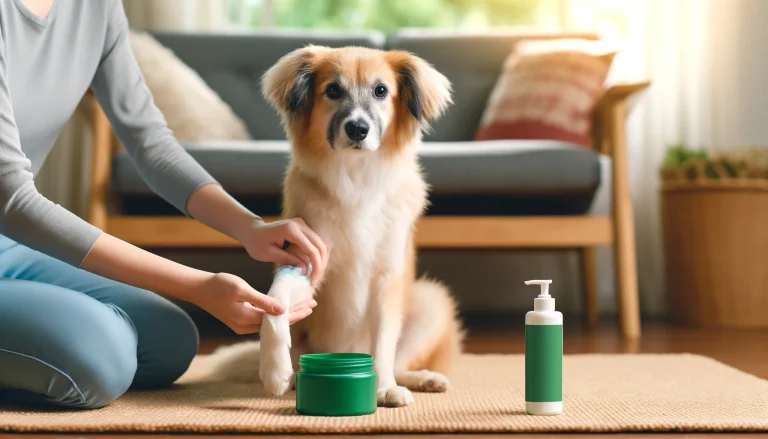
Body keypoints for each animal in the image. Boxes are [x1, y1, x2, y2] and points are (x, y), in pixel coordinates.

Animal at [204, 45, 464, 410]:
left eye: (380, 91)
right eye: (333, 91)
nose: (357, 129)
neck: (356, 177)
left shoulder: (386, 278)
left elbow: (383, 344)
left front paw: (385, 387)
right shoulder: (306, 260)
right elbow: (276, 303)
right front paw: (273, 370)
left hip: (431, 300)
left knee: (397, 359)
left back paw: (419, 380)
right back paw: (293, 376)